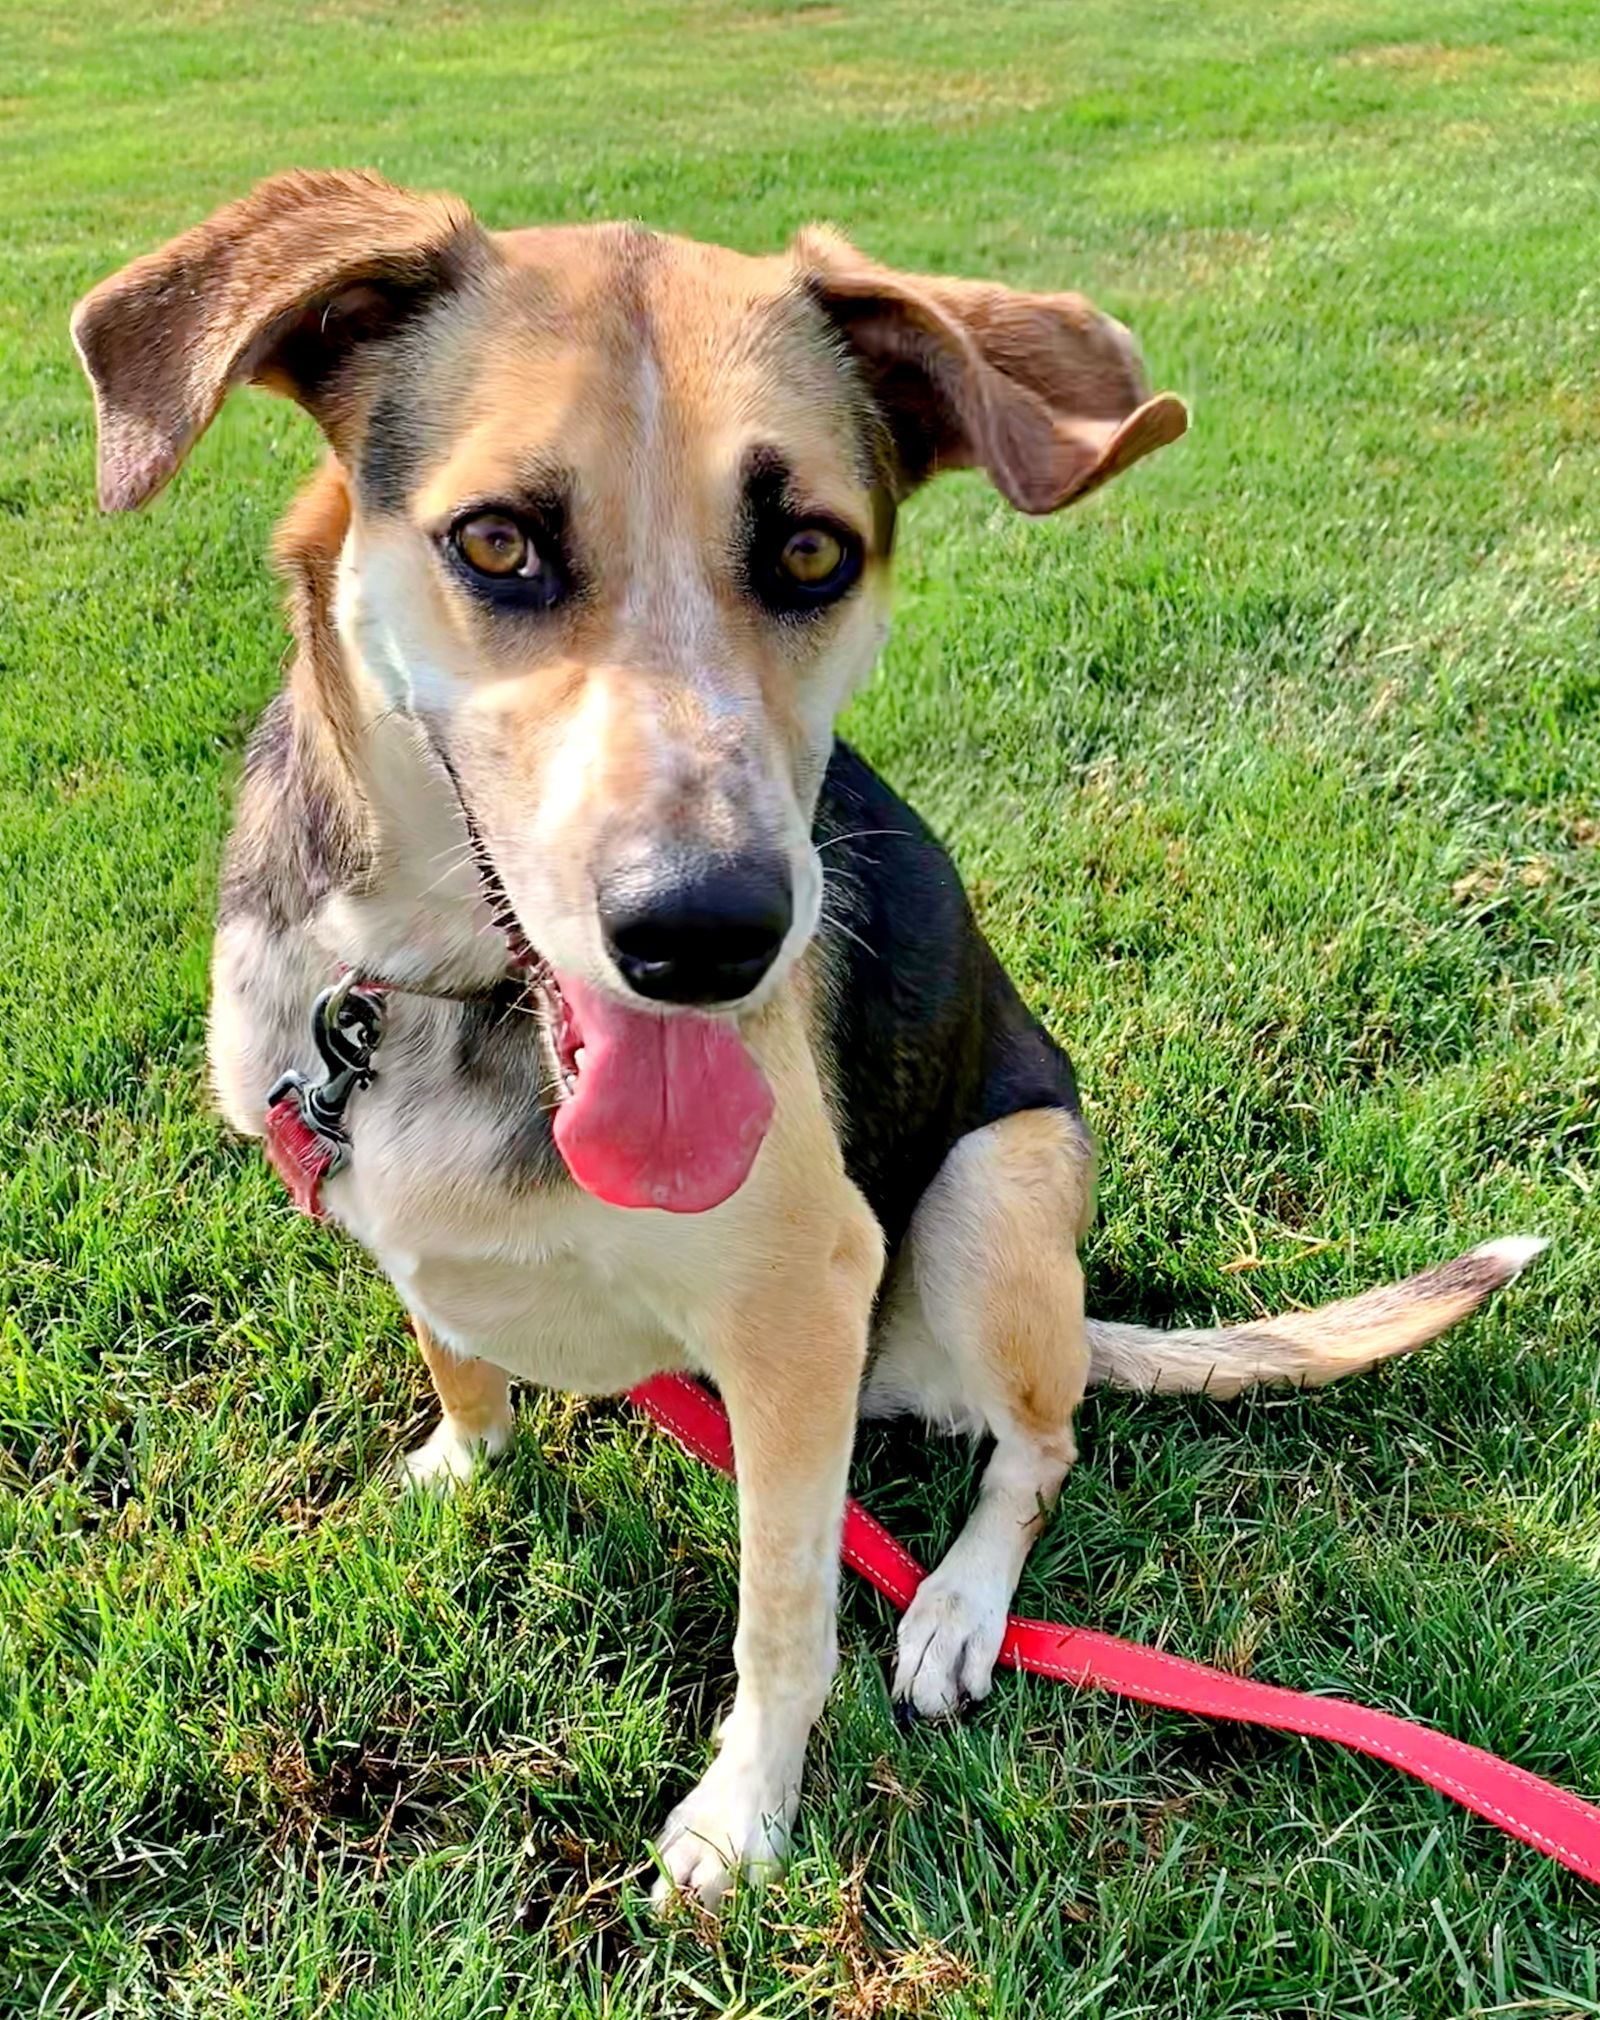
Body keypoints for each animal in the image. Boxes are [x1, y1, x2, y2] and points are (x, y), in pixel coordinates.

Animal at [68, 173, 1543, 1906]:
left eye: (812, 550)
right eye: (497, 541)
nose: (708, 938)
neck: (443, 999)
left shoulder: (796, 1312)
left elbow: (787, 1614)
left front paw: (741, 1814)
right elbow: (455, 1350)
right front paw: (460, 1462)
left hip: (995, 1190)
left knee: (1038, 1444)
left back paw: (960, 1605)